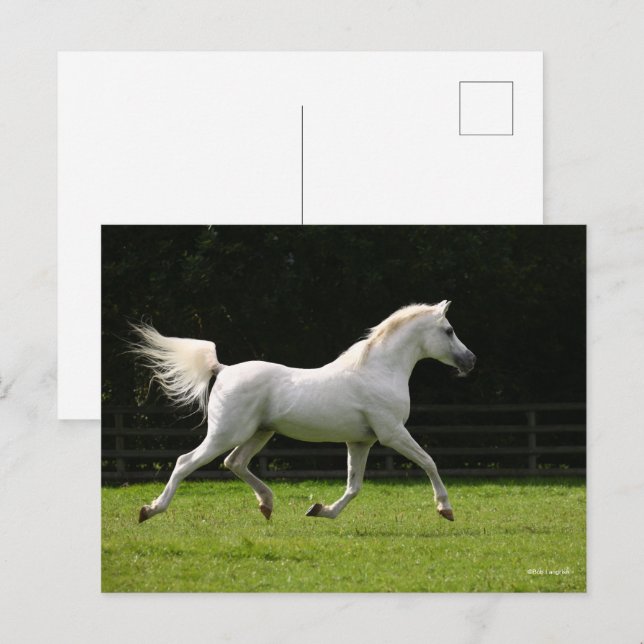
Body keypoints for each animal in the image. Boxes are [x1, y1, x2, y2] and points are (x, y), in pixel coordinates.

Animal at [132, 301, 476, 524]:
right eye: (449, 330)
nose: (471, 360)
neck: (379, 371)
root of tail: (224, 369)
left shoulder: (361, 442)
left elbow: (354, 486)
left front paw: (321, 511)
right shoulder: (392, 434)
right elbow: (429, 462)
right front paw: (445, 510)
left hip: (259, 432)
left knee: (235, 462)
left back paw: (267, 505)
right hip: (226, 433)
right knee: (185, 462)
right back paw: (150, 510)